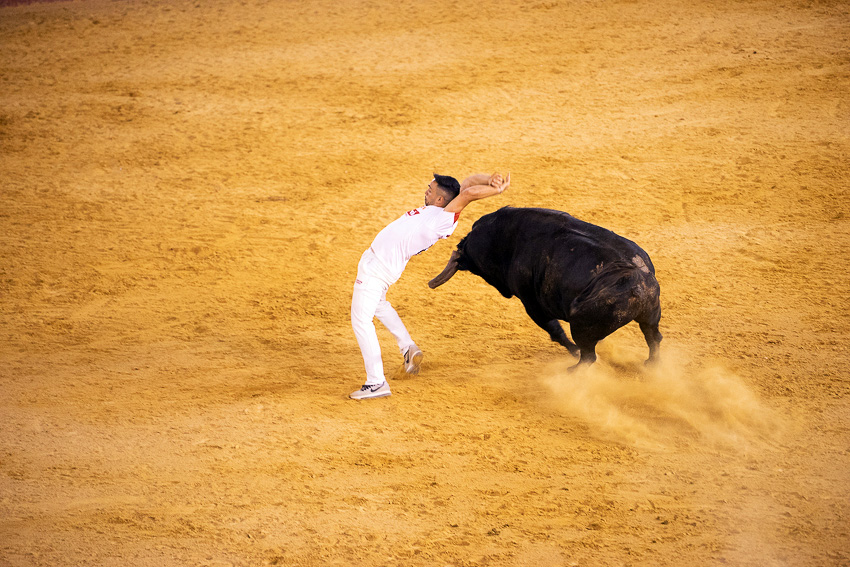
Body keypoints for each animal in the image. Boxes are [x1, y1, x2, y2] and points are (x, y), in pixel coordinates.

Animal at [428, 207, 660, 368]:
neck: (505, 240)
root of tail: (638, 282)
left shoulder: (532, 304)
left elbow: (555, 331)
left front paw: (572, 350)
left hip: (582, 326)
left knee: (587, 355)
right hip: (650, 316)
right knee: (653, 338)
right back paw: (650, 364)